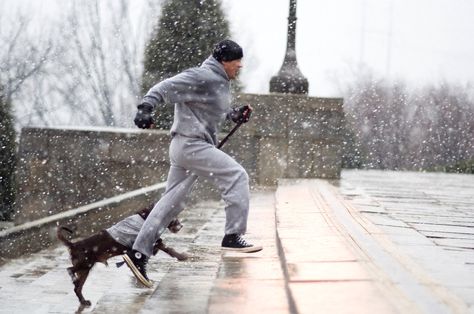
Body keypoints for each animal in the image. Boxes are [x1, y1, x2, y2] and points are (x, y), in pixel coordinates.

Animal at [57, 205, 187, 306]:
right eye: (173, 217)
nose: (181, 226)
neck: (146, 217)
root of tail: (73, 245)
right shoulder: (151, 241)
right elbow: (168, 249)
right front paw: (182, 256)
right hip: (85, 264)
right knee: (70, 270)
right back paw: (74, 281)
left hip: (84, 270)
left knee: (77, 288)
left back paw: (84, 302)